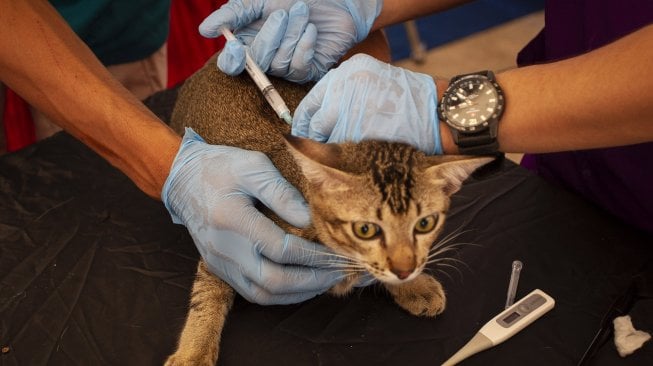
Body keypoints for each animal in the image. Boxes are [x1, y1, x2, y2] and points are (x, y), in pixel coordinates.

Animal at [166, 53, 492, 364]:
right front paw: (193, 353)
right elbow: (207, 296)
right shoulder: (224, 244)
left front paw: (414, 285)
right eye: (366, 229)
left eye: (424, 224)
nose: (407, 270)